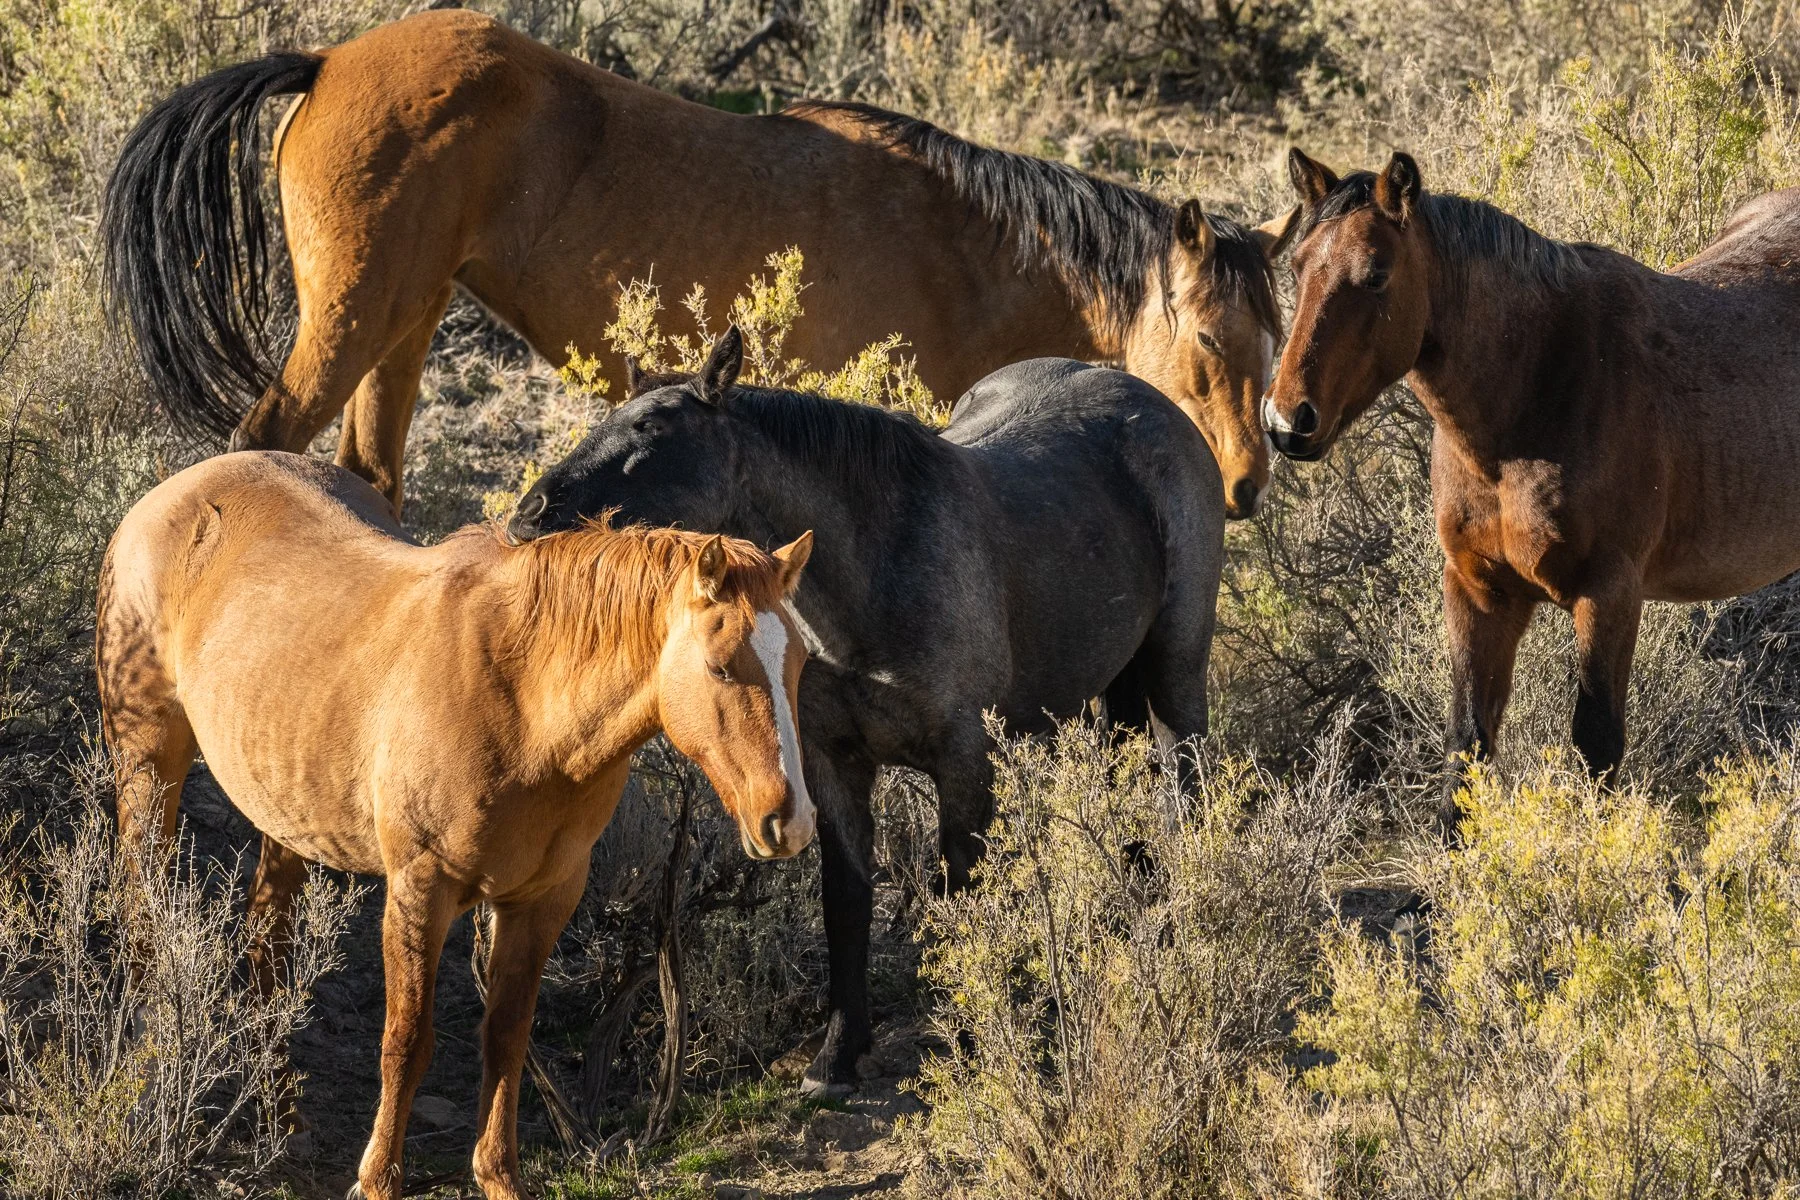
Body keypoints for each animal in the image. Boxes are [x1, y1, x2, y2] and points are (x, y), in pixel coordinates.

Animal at [97, 450, 814, 1200]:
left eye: (799, 664)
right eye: (720, 667)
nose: (789, 820)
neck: (525, 705)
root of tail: (173, 490)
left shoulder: (540, 900)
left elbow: (506, 1038)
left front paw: (497, 1176)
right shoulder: (421, 889)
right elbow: (407, 1041)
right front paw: (377, 1179)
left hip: (283, 813)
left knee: (268, 941)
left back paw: (281, 1114)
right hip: (147, 763)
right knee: (142, 913)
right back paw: (143, 1078)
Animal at [101, 8, 1295, 521]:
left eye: (1275, 337)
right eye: (1205, 339)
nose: (1246, 481)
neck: (955, 244)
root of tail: (328, 60)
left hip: (407, 320)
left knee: (368, 477)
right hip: (350, 321)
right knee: (260, 448)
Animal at [505, 327, 1226, 1094]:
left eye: (653, 429)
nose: (527, 518)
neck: (870, 580)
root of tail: (1158, 405)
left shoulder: (964, 766)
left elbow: (960, 900)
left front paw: (973, 1043)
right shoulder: (833, 766)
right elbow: (845, 905)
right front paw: (837, 1055)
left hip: (1175, 672)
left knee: (1181, 792)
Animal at [1261, 147, 1800, 836]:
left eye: (1377, 274)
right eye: (1297, 265)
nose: (1286, 421)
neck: (1541, 388)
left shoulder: (1608, 592)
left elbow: (1596, 739)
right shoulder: (1479, 590)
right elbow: (1468, 741)